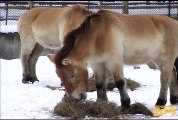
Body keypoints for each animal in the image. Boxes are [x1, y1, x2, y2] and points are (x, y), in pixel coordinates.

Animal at [47, 10, 178, 107]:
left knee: (165, 80)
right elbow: (99, 83)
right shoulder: (97, 63)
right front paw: (101, 102)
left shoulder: (114, 61)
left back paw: (161, 102)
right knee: (172, 74)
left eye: (72, 75)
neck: (97, 35)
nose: (75, 98)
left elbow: (119, 82)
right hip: (158, 60)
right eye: (60, 76)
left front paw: (125, 103)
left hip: (166, 60)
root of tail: (175, 23)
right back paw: (174, 100)